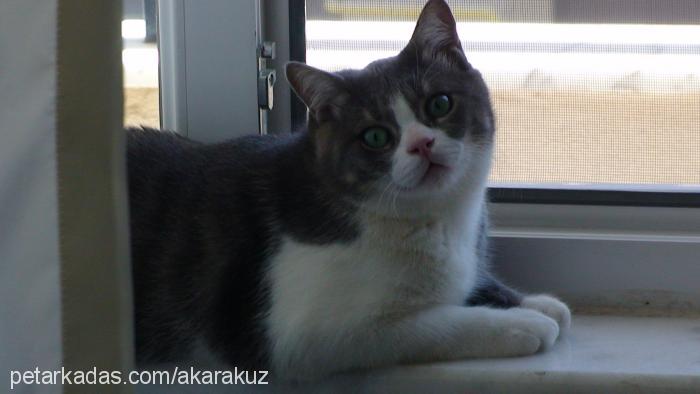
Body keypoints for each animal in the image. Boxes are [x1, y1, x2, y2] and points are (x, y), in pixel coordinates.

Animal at [129, 0, 572, 384]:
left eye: (440, 103)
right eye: (375, 136)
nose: (422, 144)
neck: (433, 220)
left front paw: (534, 302)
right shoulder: (301, 335)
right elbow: (432, 322)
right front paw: (523, 322)